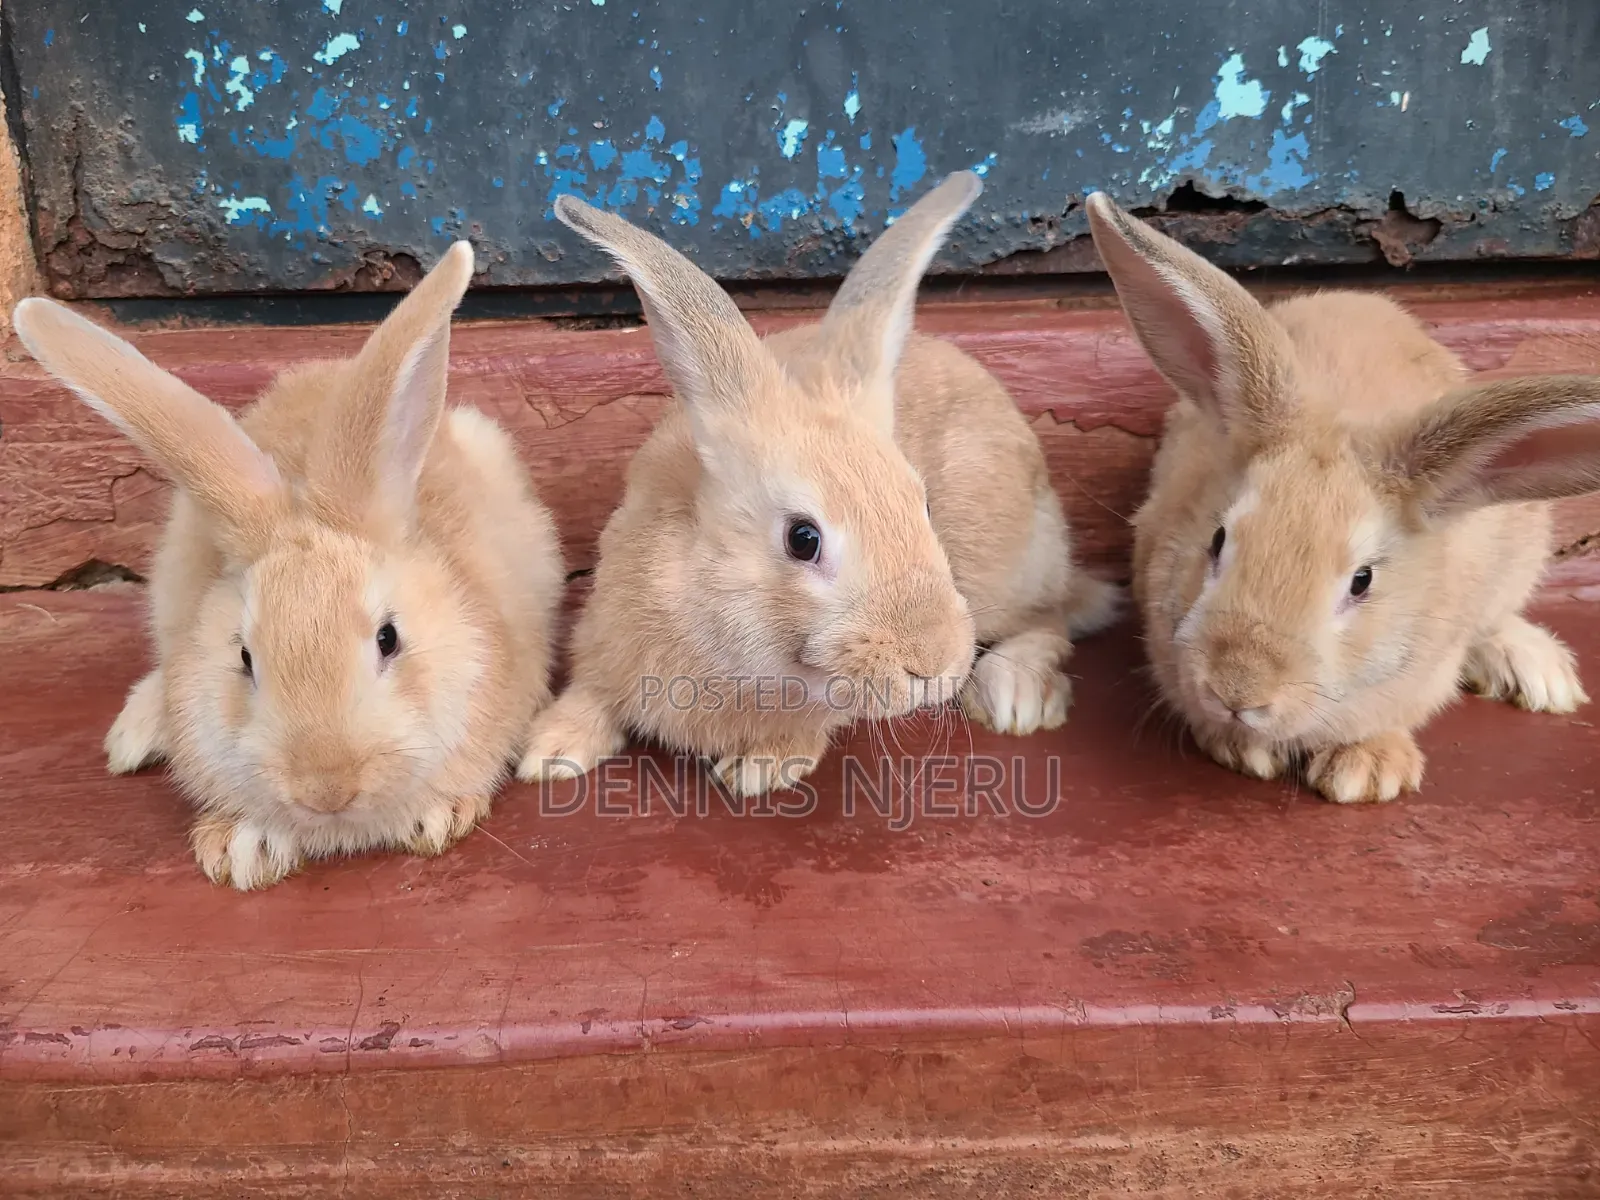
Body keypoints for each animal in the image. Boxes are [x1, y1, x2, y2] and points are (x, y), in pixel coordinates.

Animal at [519, 171, 1119, 798]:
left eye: (925, 508)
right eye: (803, 539)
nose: (933, 666)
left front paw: (760, 767)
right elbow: (593, 692)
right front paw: (550, 751)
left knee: (1052, 615)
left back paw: (1016, 695)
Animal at [1085, 191, 1600, 803]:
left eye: (1362, 581)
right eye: (1218, 539)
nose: (1237, 693)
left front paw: (1368, 773)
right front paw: (1240, 748)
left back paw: (1538, 672)